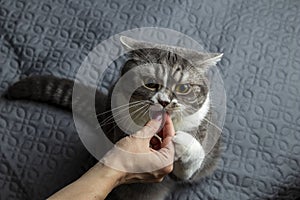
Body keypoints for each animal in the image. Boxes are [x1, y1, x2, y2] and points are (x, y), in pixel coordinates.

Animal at [5, 36, 223, 200]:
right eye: (150, 83)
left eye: (183, 88)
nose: (164, 102)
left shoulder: (193, 153)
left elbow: (191, 165)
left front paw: (182, 141)